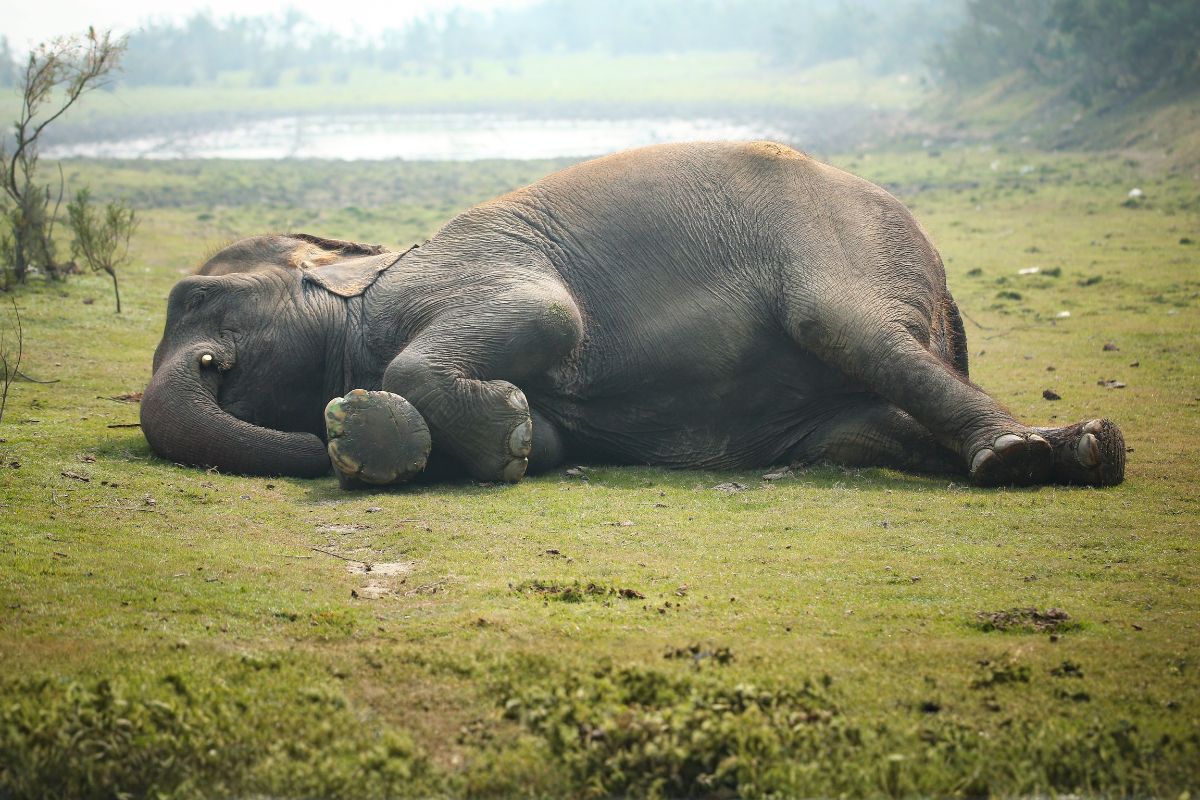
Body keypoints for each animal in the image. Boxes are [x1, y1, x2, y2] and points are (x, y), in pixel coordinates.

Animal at [141, 141, 1125, 489]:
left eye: (197, 298)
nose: (211, 362)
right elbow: (547, 442)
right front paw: (390, 437)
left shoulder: (468, 268)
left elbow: (547, 318)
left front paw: (416, 428)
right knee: (860, 430)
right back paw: (1069, 454)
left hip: (843, 245)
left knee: (851, 330)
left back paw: (1031, 456)